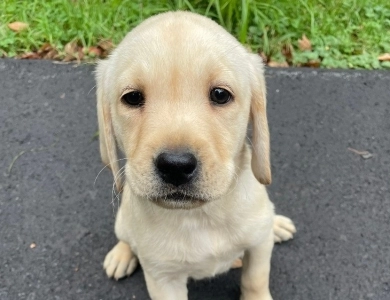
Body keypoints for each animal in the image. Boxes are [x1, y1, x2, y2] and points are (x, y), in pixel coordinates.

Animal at [96, 10, 296, 298]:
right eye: (132, 98)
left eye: (221, 94)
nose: (175, 166)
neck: (200, 216)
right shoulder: (163, 278)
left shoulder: (258, 246)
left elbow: (255, 278)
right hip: (123, 222)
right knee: (126, 237)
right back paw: (121, 255)